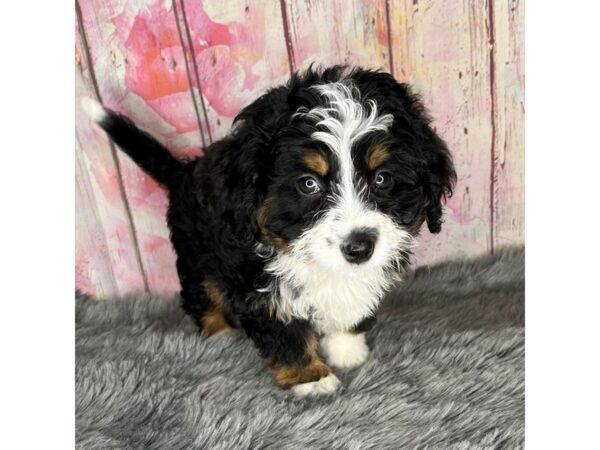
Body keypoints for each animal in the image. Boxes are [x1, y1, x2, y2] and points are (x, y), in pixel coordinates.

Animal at [83, 65, 454, 396]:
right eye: (308, 184)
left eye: (382, 179)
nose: (359, 247)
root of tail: (183, 172)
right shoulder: (258, 286)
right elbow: (285, 331)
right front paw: (310, 377)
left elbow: (352, 303)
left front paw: (347, 348)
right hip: (196, 253)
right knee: (199, 291)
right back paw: (217, 331)